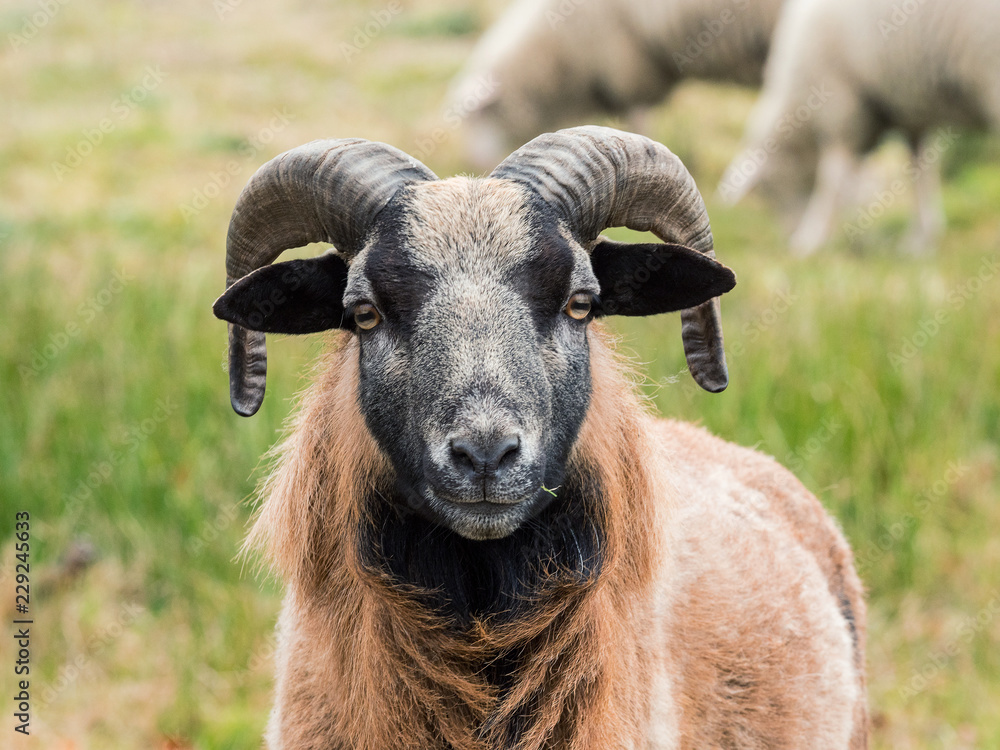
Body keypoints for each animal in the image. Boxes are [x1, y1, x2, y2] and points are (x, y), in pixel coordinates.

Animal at [718, 0, 1000, 255]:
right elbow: (921, 170)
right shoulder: (908, 110)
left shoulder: (840, 105)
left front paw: (811, 240)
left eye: (768, 190)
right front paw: (920, 239)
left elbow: (832, 178)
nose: (789, 233)